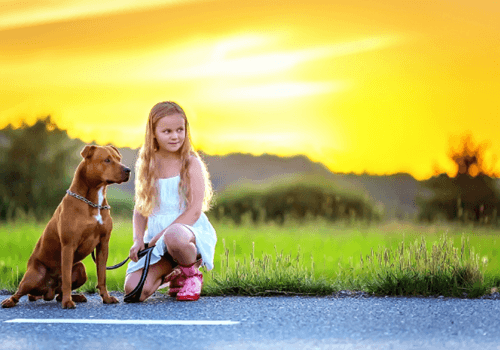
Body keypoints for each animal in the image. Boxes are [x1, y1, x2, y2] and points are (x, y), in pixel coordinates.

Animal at [1, 145, 131, 308]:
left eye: (118, 159)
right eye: (107, 160)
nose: (128, 170)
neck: (93, 202)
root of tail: (48, 291)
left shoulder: (103, 244)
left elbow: (102, 275)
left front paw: (106, 298)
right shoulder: (69, 245)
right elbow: (67, 279)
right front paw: (68, 302)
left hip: (81, 269)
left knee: (59, 293)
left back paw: (77, 296)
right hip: (34, 275)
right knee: (21, 292)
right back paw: (10, 301)